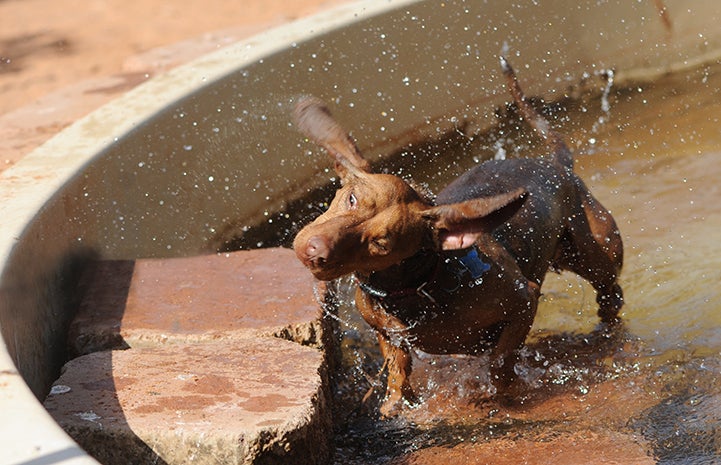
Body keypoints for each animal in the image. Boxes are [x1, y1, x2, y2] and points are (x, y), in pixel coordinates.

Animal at [290, 56, 620, 416]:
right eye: (351, 199)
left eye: (381, 244)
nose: (312, 251)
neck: (418, 287)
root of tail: (559, 165)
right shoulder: (387, 333)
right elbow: (398, 371)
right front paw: (395, 404)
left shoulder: (524, 299)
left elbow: (500, 363)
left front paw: (502, 394)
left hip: (597, 255)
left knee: (609, 292)